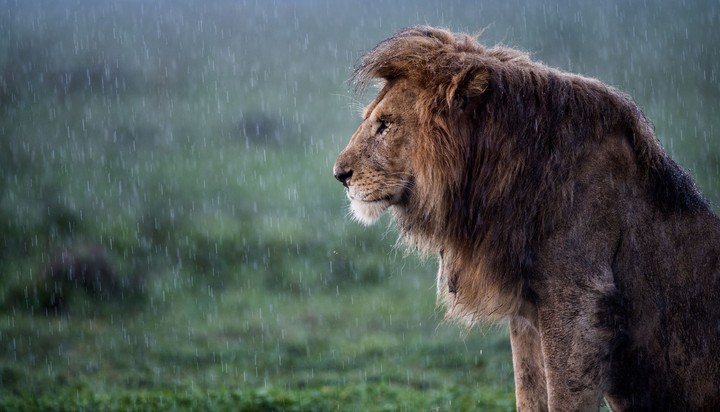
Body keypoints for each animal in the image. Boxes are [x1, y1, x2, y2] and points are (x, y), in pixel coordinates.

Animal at [333, 26, 720, 411]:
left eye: (385, 125)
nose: (339, 175)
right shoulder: (526, 312)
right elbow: (529, 393)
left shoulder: (577, 302)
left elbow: (563, 398)